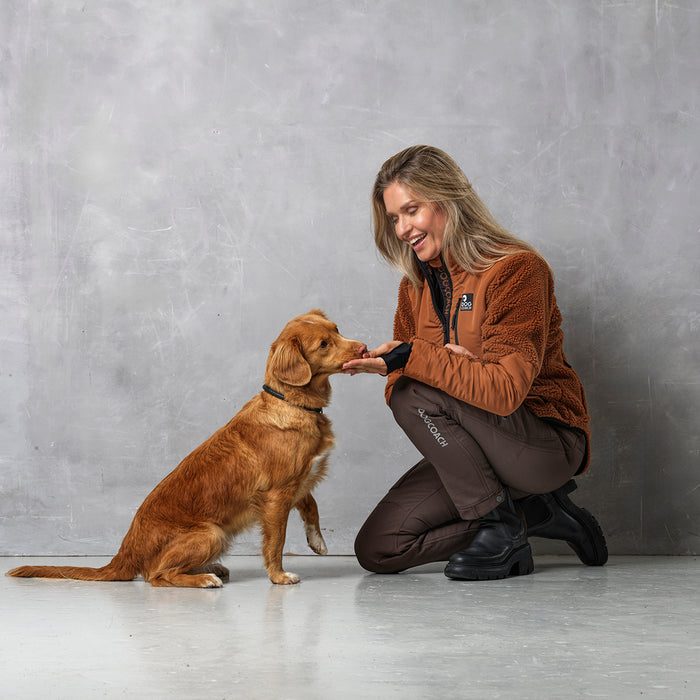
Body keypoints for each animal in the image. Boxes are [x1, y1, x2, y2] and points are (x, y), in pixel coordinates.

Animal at [6, 308, 366, 588]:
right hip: (211, 533)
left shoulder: (298, 480)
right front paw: (278, 577)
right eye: (323, 344)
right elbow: (275, 542)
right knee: (156, 575)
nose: (363, 347)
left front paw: (317, 541)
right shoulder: (277, 496)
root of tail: (126, 551)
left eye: (337, 330)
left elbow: (311, 505)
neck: (294, 403)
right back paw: (204, 578)